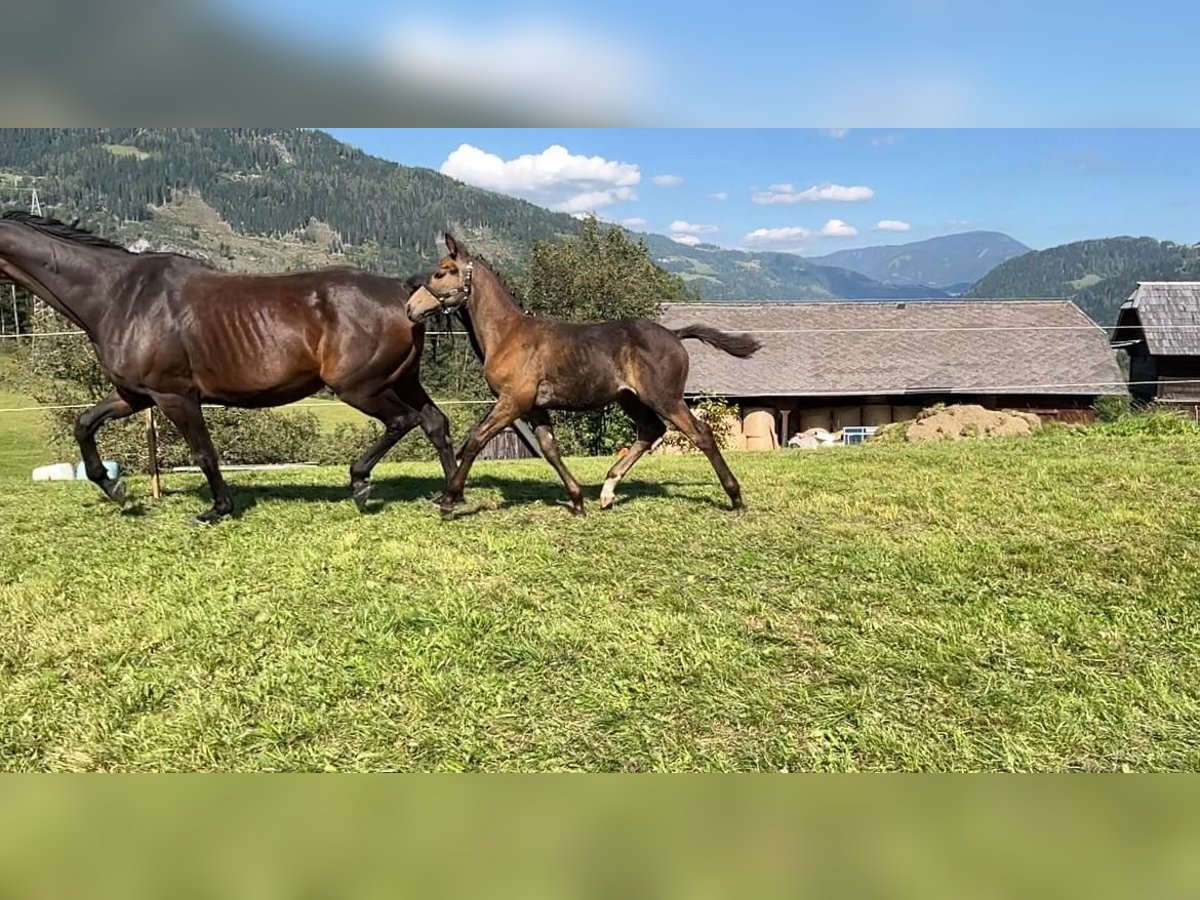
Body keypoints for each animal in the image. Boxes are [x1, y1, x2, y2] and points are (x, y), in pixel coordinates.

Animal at [0, 211, 456, 520]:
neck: (120, 295)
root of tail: (401, 291)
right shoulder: (134, 396)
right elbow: (84, 425)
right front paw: (115, 488)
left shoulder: (174, 395)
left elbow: (204, 452)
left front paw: (218, 508)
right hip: (404, 379)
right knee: (435, 422)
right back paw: (450, 496)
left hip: (359, 387)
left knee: (403, 421)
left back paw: (361, 482)